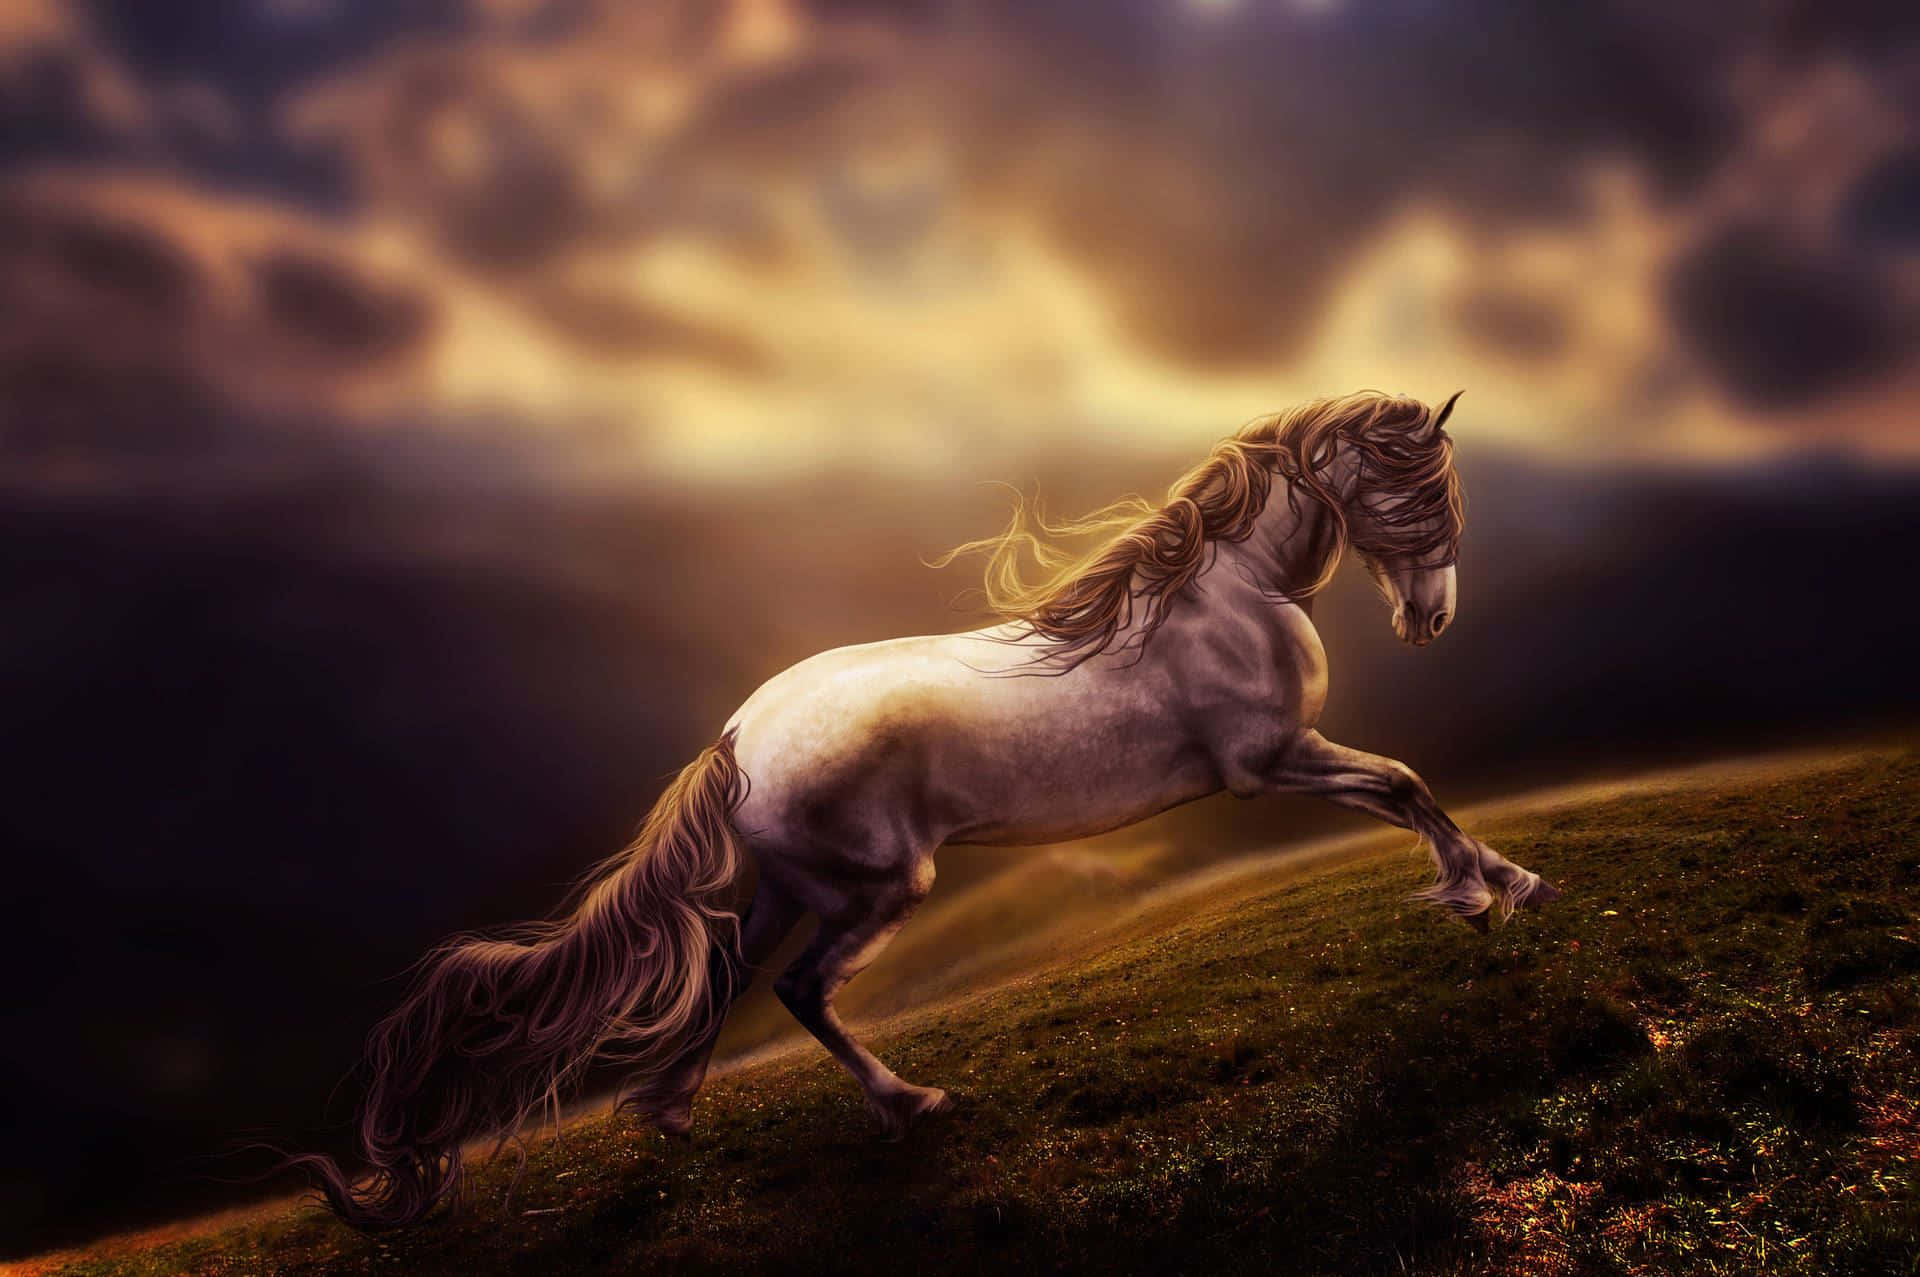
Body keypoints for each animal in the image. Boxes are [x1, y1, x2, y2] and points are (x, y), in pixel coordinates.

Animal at [299, 389, 1559, 1229]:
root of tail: (736, 740)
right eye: (1412, 491)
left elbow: (1405, 787)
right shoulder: (1271, 762)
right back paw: (909, 1102)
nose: (1431, 615)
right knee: (801, 991)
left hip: (790, 889)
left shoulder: (1282, 762)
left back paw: (669, 1113)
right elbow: (1403, 783)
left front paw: (1507, 882)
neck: (1223, 594)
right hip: (875, 889)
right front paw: (1486, 891)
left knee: (725, 975)